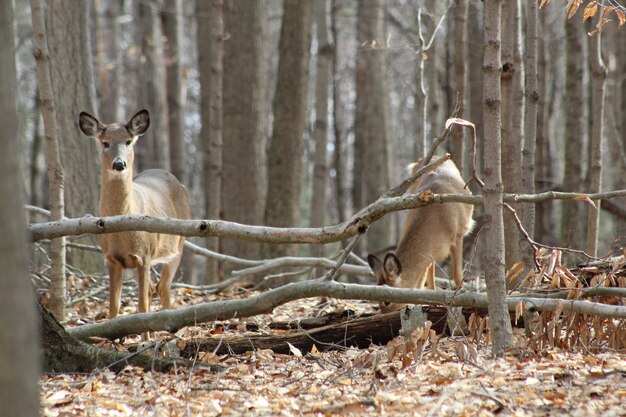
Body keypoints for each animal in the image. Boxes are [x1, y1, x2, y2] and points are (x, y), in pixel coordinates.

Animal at [78, 109, 190, 322]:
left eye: (128, 141)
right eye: (105, 143)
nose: (119, 164)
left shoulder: (144, 255)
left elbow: (142, 306)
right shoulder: (111, 258)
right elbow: (113, 308)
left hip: (178, 245)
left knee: (163, 288)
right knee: (154, 289)